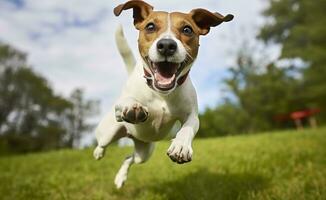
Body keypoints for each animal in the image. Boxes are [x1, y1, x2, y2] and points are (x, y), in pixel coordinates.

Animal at [93, 0, 233, 188]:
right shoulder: (119, 107)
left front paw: (180, 145)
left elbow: (188, 127)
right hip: (109, 132)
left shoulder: (192, 115)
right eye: (150, 26)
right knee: (102, 144)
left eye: (187, 29)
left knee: (129, 158)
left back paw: (121, 177)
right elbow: (127, 102)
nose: (166, 45)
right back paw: (98, 153)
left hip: (144, 152)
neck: (161, 93)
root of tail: (131, 136)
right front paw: (133, 106)